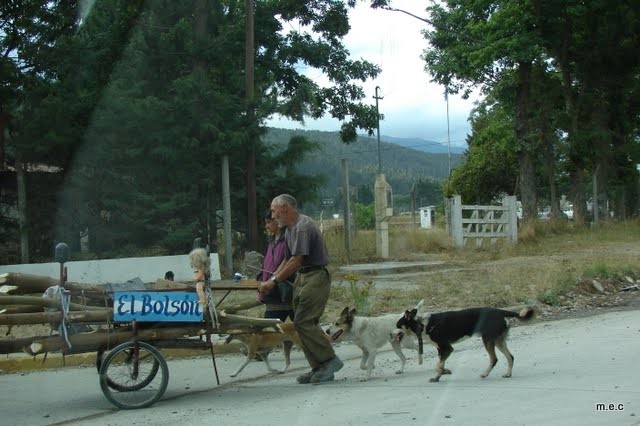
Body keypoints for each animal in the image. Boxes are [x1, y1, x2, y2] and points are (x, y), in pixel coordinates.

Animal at [396, 306, 536, 382]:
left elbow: (438, 366)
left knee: (494, 359)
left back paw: (485, 374)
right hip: (498, 340)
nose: (392, 335)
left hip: (488, 340)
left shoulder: (447, 348)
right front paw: (438, 377)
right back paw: (508, 374)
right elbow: (440, 365)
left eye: (396, 325)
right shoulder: (441, 350)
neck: (421, 324)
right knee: (510, 357)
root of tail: (502, 312)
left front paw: (445, 371)